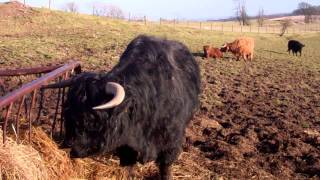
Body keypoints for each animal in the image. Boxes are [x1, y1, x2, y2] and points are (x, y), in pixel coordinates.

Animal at [43, 34, 200, 179]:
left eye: (91, 118)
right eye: (67, 111)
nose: (69, 146)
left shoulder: (171, 143)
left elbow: (165, 168)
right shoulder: (127, 148)